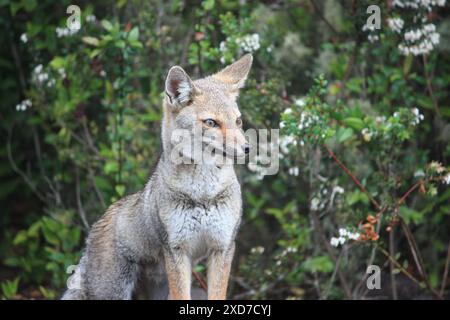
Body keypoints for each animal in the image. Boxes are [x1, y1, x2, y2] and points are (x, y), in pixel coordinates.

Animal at [62, 53, 255, 300]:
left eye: (238, 121)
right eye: (211, 122)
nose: (247, 148)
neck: (203, 194)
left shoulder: (222, 248)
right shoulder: (176, 250)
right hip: (114, 291)